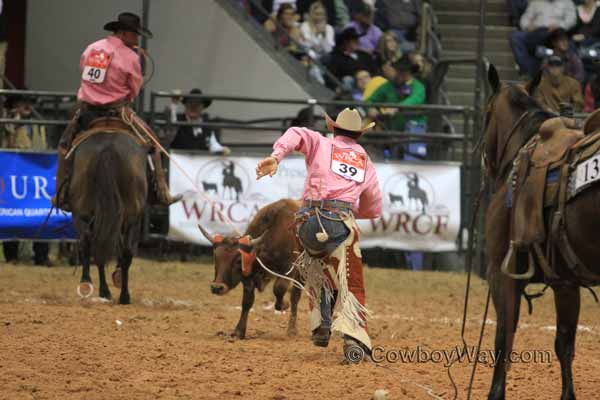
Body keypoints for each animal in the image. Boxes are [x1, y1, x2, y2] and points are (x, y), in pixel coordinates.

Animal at [67, 131, 147, 304]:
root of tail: (107, 150)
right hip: (131, 217)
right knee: (124, 252)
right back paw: (124, 295)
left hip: (83, 213)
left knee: (92, 243)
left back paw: (97, 287)